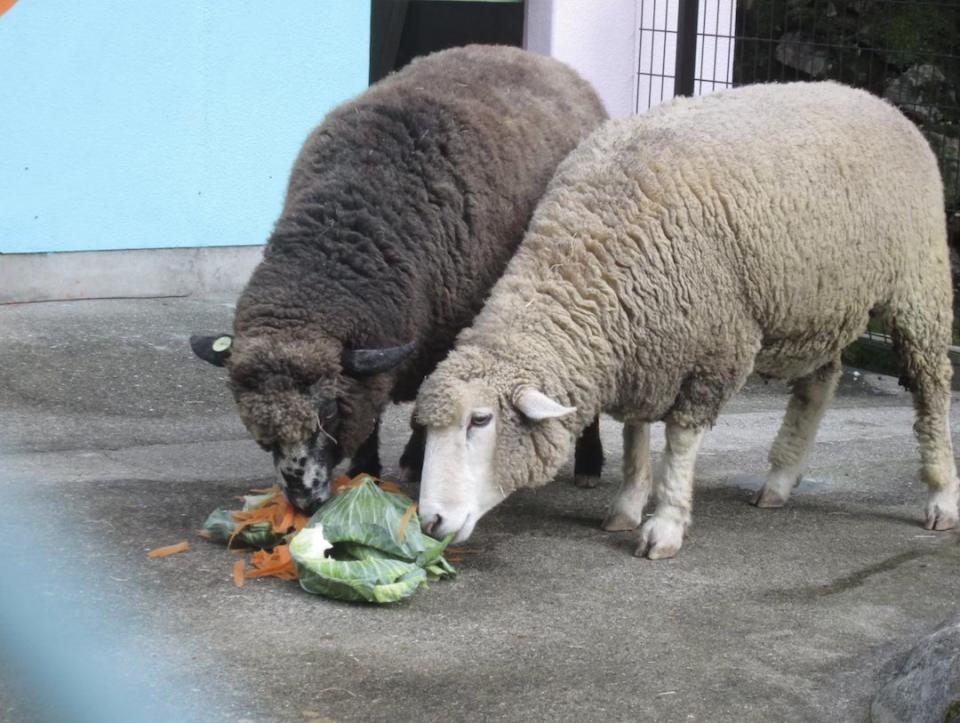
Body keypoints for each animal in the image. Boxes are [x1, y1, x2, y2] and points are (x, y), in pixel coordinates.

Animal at [190, 45, 604, 512]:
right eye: (257, 424)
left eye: (328, 411)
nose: (305, 501)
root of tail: (534, 56)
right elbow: (373, 409)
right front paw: (366, 469)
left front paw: (416, 459)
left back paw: (590, 464)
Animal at [416, 82, 956, 556]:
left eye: (480, 420)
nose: (430, 520)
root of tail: (873, 98)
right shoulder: (644, 349)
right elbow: (636, 437)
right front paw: (627, 506)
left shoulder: (714, 349)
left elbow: (679, 439)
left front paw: (665, 524)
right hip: (820, 303)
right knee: (819, 384)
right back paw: (780, 481)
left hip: (919, 284)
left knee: (931, 386)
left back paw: (941, 496)